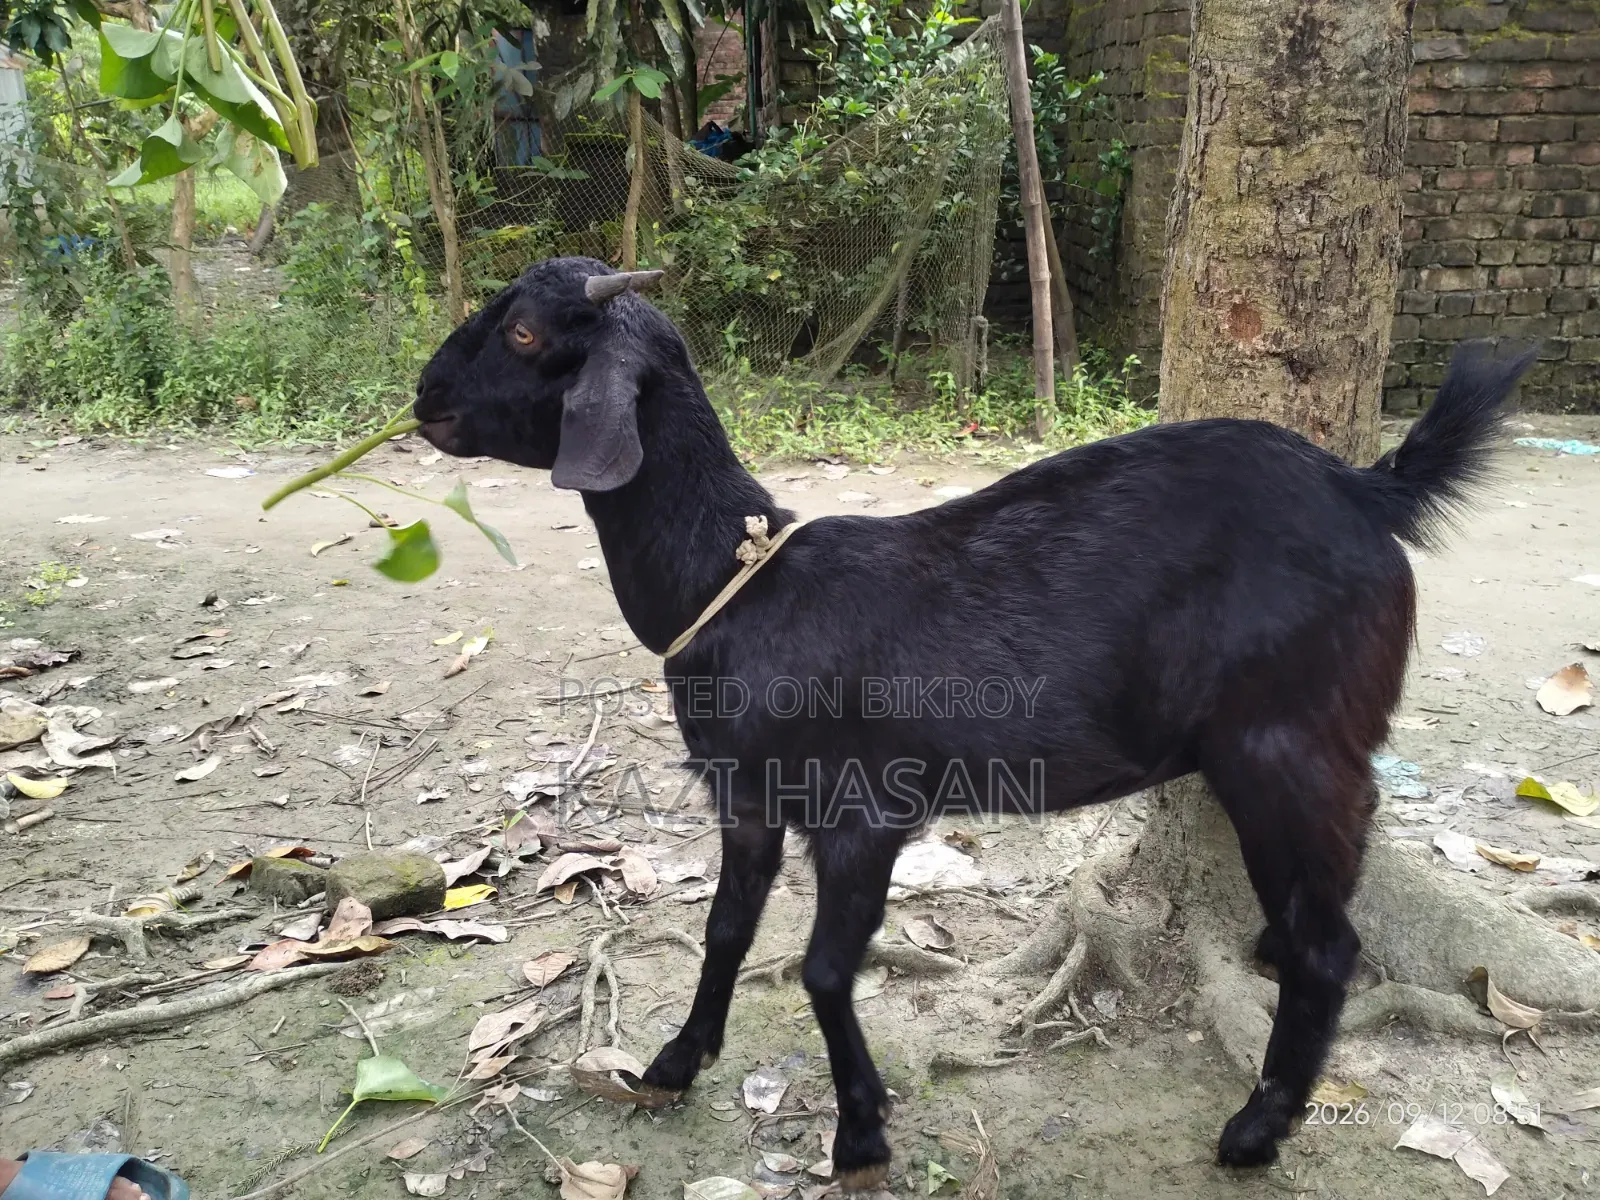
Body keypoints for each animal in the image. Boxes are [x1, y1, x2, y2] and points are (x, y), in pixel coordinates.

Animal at [413, 256, 1536, 1185]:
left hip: (1281, 744)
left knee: (1330, 944)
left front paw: (860, 1132)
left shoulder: (866, 811)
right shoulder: (750, 797)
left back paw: (1257, 1129)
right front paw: (676, 1061)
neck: (737, 582)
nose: (423, 398)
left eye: (525, 334)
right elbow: (726, 928)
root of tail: (1368, 487)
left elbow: (824, 967)